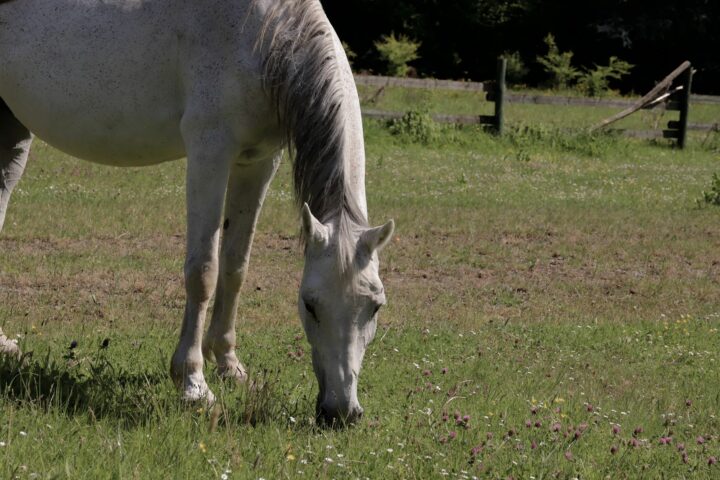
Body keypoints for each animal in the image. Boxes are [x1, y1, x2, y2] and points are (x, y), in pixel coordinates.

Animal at [0, 0, 394, 425]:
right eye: (310, 304)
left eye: (375, 306)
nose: (341, 412)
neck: (263, 34)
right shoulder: (210, 151)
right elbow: (203, 270)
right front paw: (193, 383)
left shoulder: (258, 162)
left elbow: (235, 266)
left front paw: (229, 365)